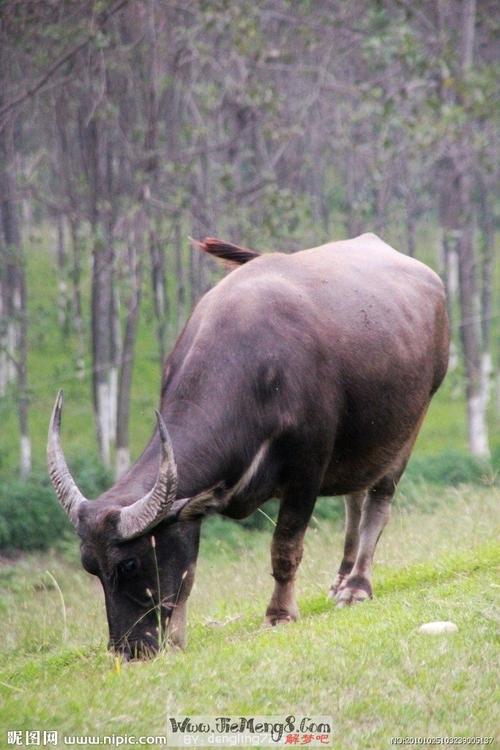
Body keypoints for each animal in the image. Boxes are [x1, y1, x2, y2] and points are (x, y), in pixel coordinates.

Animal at [47, 234, 450, 656]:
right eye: (90, 565)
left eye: (129, 564)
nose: (128, 649)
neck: (257, 369)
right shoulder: (190, 510)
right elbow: (187, 573)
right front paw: (176, 639)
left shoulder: (306, 470)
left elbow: (285, 547)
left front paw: (280, 614)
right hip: (361, 441)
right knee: (354, 498)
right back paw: (341, 580)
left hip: (409, 424)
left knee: (377, 502)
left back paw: (357, 586)